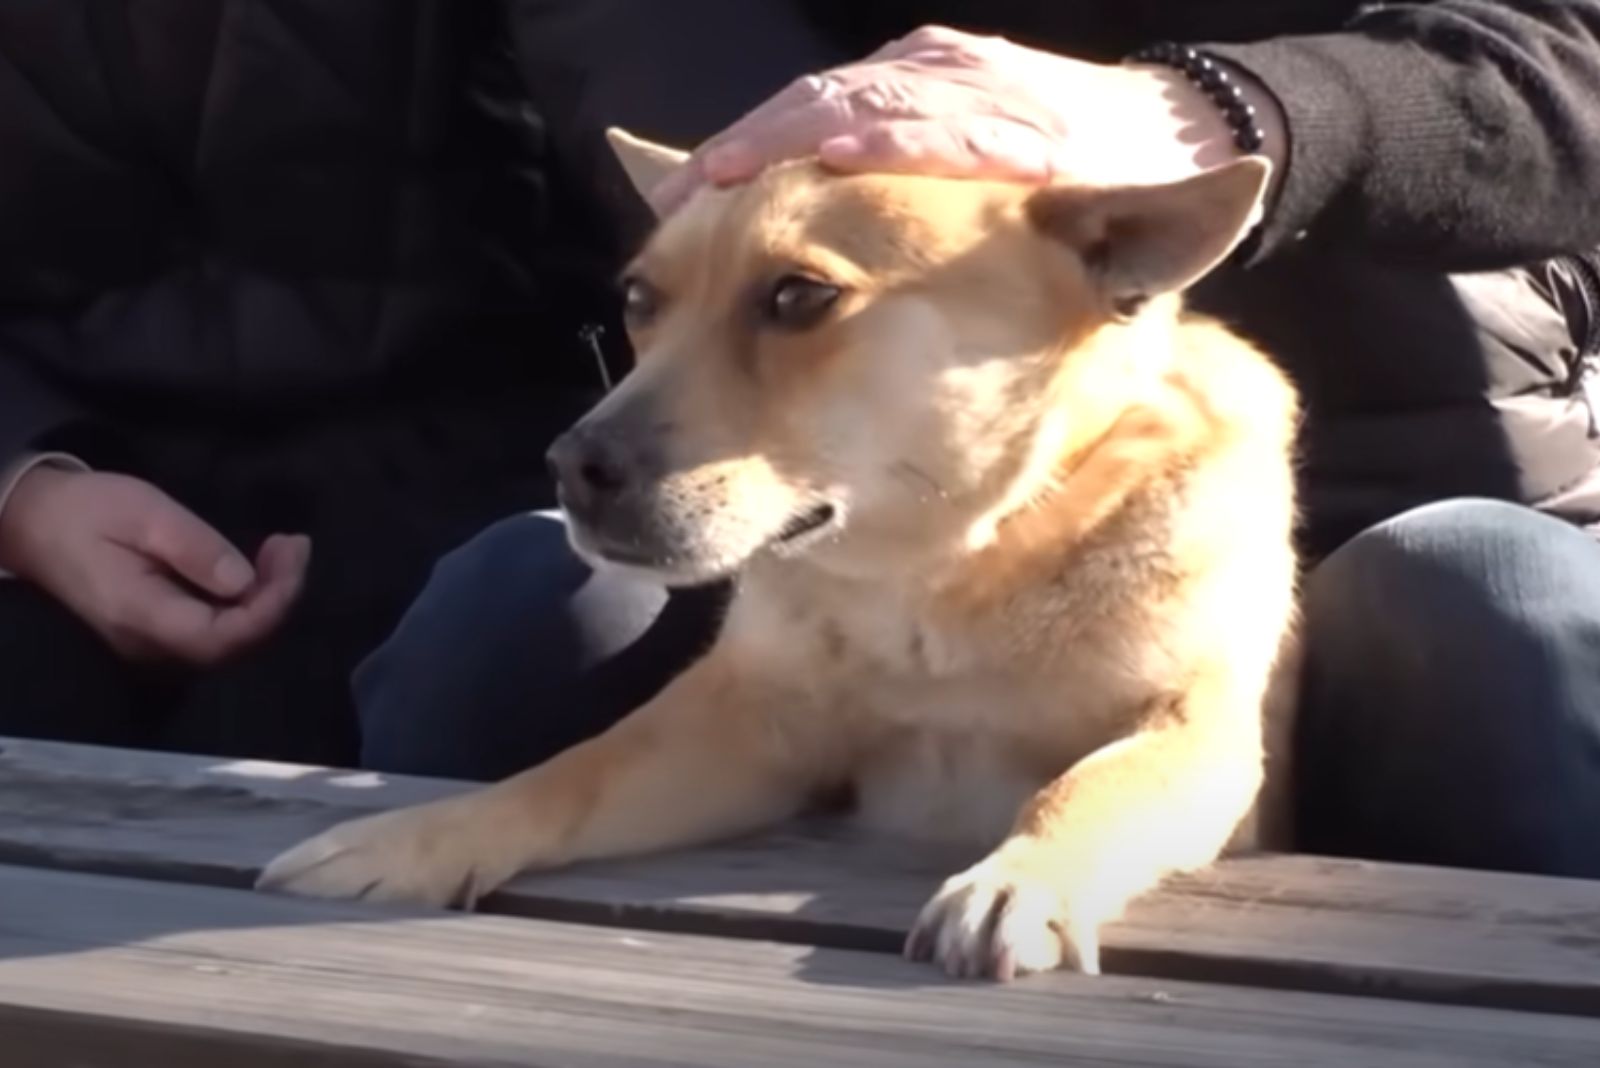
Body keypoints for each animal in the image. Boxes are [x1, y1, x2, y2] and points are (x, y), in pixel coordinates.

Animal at [259, 129, 1299, 978]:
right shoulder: (744, 730)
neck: (936, 581)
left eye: (799, 295)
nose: (569, 467)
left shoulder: (1197, 735)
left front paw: (1024, 878)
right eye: (639, 300)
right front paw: (415, 836)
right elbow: (570, 770)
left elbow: (1091, 786)